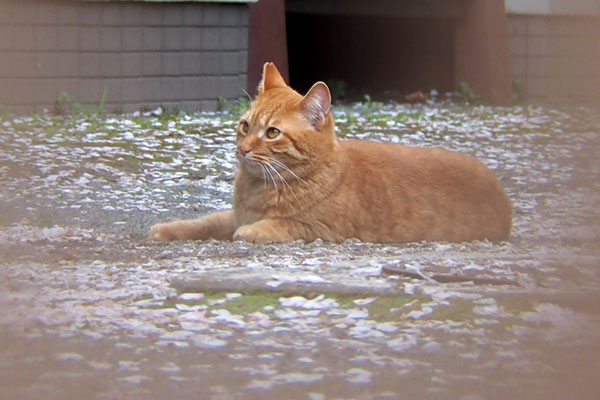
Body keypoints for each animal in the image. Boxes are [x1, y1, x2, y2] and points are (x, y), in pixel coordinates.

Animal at [150, 63, 510, 244]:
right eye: (244, 125)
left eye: (272, 133)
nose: (242, 148)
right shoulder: (233, 214)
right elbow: (206, 221)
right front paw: (170, 228)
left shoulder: (324, 229)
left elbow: (285, 224)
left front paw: (254, 231)